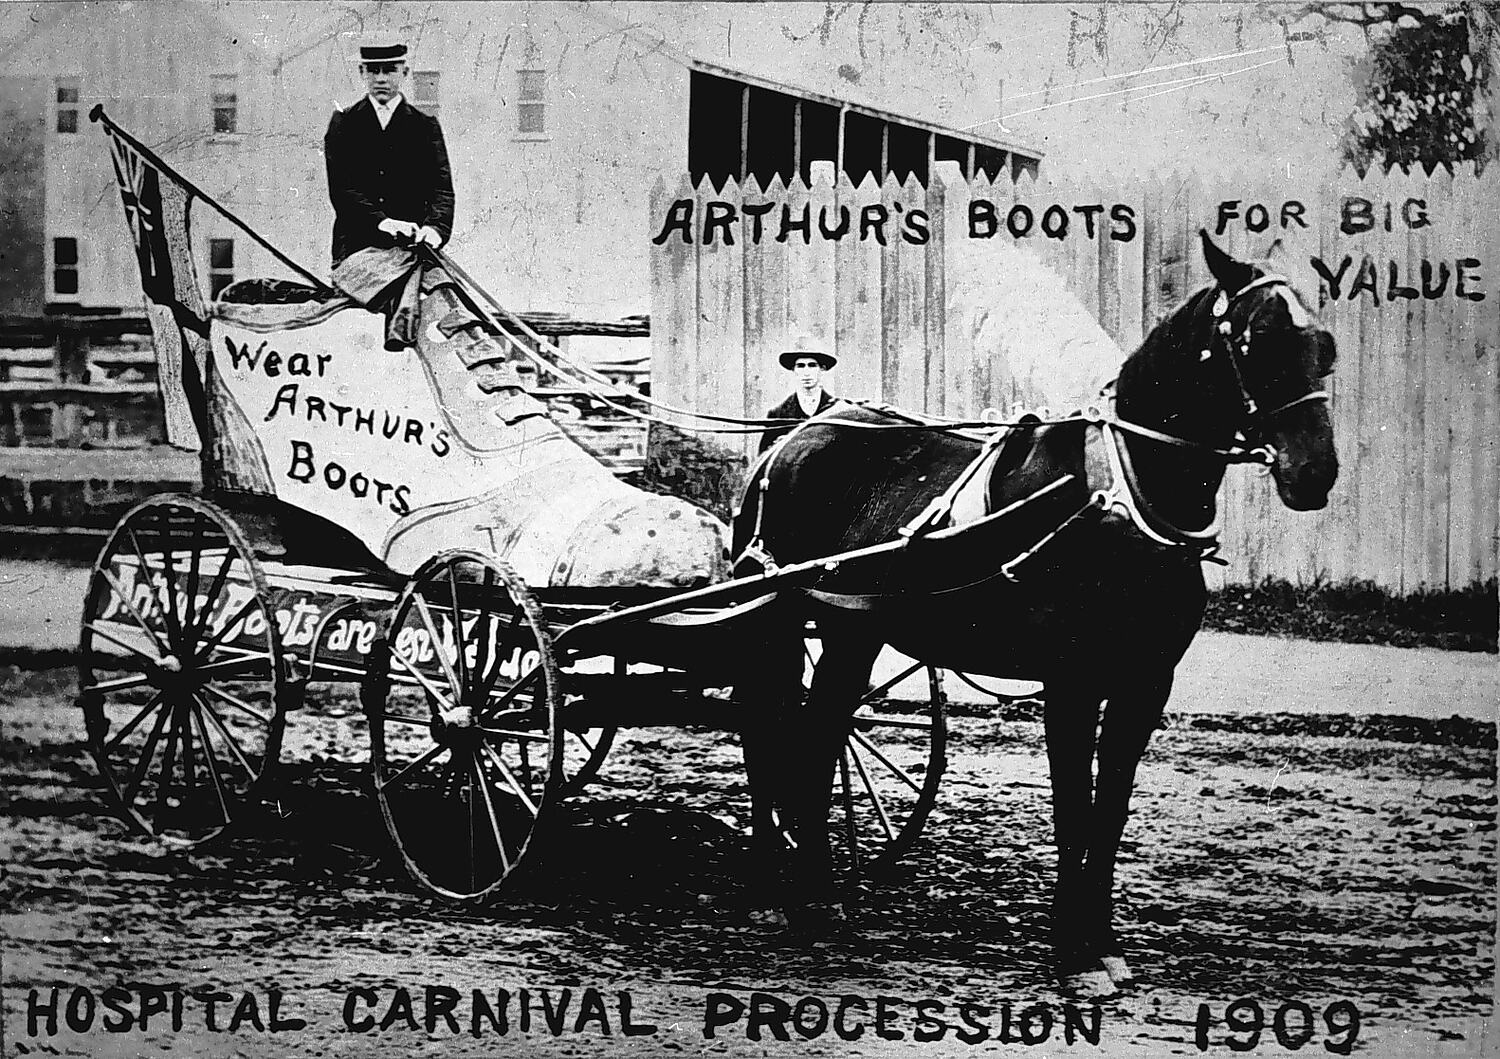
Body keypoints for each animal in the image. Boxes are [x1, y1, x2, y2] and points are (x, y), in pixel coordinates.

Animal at [732, 226, 1344, 996]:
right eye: (1256, 339)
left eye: (1324, 346)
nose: (1314, 472)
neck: (1117, 501)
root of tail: (795, 438)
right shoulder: (1072, 681)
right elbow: (1073, 805)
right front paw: (1070, 950)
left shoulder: (1145, 682)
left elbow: (1110, 808)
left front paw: (1102, 943)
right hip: (781, 614)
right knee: (769, 724)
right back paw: (785, 886)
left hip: (852, 626)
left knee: (820, 727)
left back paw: (816, 890)